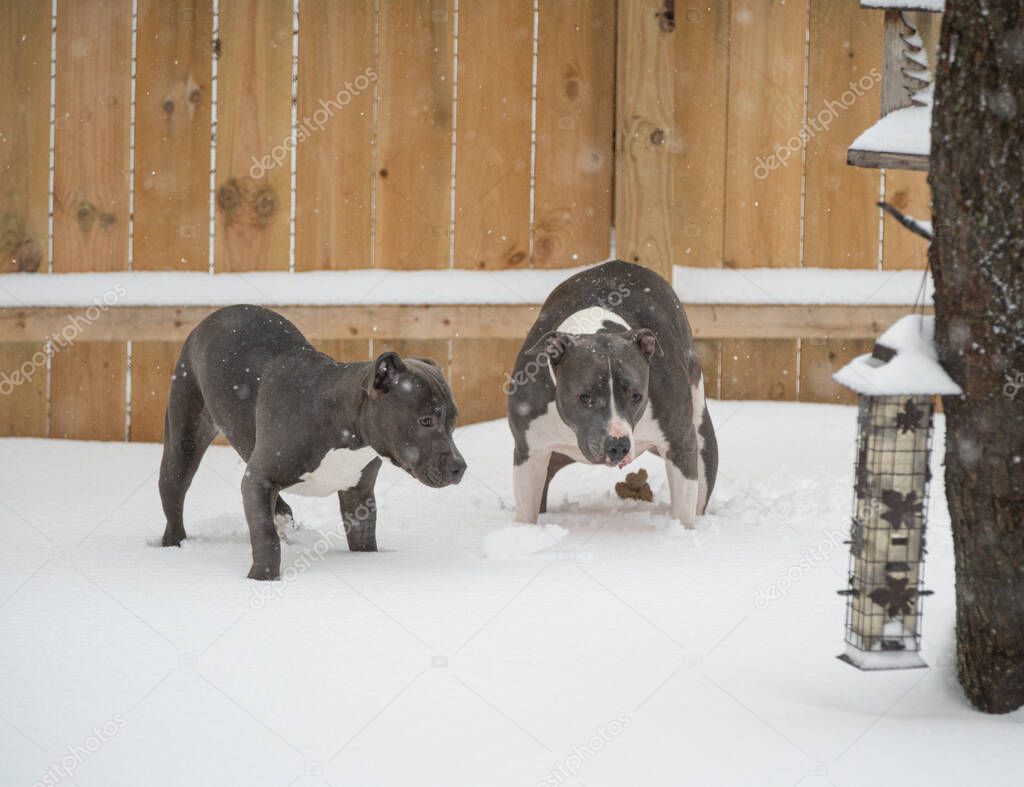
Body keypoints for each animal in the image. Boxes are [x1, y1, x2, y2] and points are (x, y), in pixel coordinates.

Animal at [159, 302, 468, 581]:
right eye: (425, 421)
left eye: (453, 421)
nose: (460, 467)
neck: (344, 428)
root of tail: (214, 316)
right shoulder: (258, 479)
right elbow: (265, 536)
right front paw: (261, 578)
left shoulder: (359, 495)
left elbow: (364, 539)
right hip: (183, 442)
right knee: (173, 497)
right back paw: (173, 546)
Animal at [505, 259, 716, 528]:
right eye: (585, 397)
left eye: (636, 396)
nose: (618, 445)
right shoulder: (530, 451)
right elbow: (526, 512)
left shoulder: (680, 442)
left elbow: (683, 509)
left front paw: (681, 531)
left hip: (701, 436)